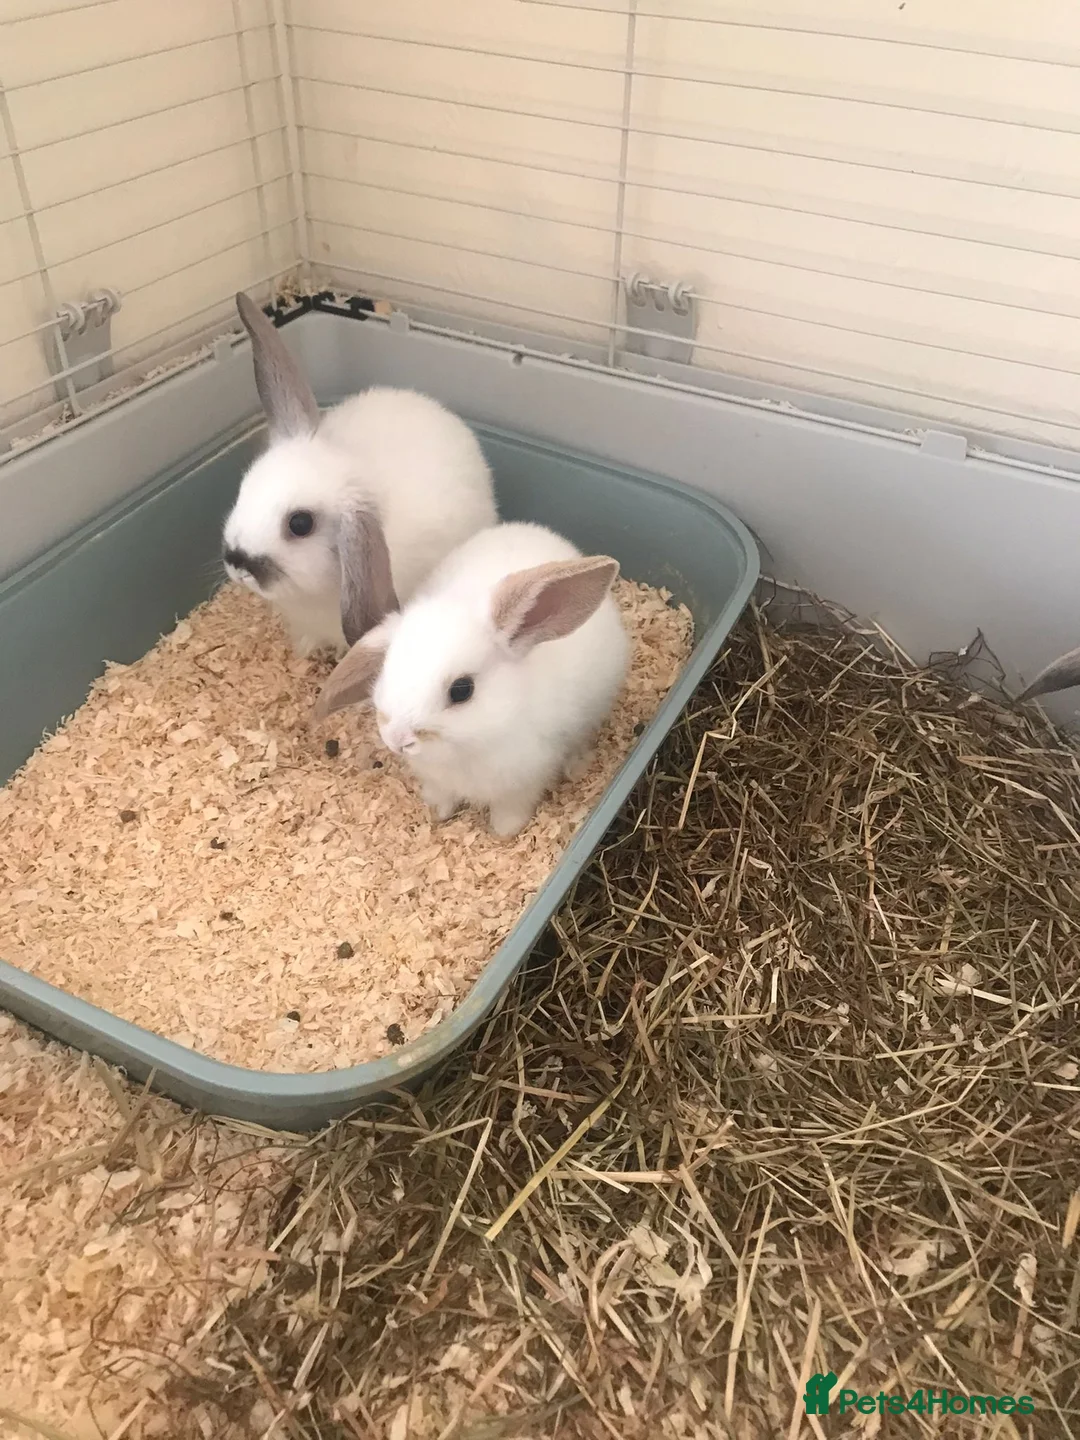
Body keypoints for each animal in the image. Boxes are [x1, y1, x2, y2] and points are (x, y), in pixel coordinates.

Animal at [313, 520, 631, 837]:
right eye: (386, 668)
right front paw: (438, 814)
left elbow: (510, 810)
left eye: (462, 690)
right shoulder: (439, 780)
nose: (397, 740)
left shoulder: (524, 782)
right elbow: (442, 797)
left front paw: (504, 833)